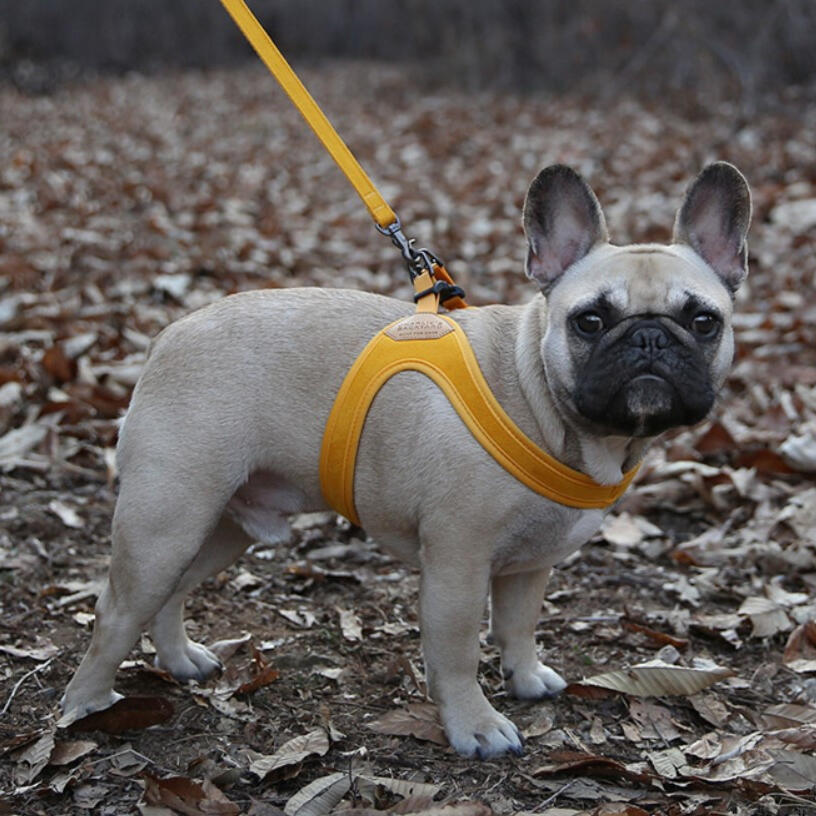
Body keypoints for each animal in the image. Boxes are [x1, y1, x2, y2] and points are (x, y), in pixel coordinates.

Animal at [62, 161, 752, 760]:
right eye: (589, 321)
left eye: (703, 320)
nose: (650, 337)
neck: (543, 403)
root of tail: (170, 335)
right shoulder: (457, 560)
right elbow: (457, 650)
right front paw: (476, 726)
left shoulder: (531, 563)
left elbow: (519, 627)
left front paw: (526, 678)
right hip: (167, 521)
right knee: (116, 612)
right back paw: (87, 705)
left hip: (221, 525)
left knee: (172, 591)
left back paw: (179, 660)